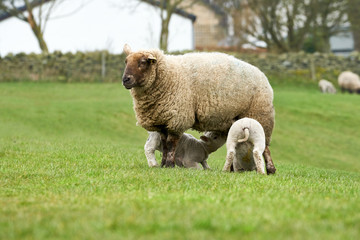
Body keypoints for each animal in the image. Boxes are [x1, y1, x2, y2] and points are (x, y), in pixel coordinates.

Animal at [122, 44, 278, 173]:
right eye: (126, 61)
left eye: (143, 62)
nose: (125, 79)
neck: (168, 75)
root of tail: (262, 75)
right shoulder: (163, 121)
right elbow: (165, 145)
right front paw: (163, 165)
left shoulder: (178, 119)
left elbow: (171, 145)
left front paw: (170, 165)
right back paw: (232, 170)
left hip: (260, 116)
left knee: (266, 148)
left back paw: (270, 170)